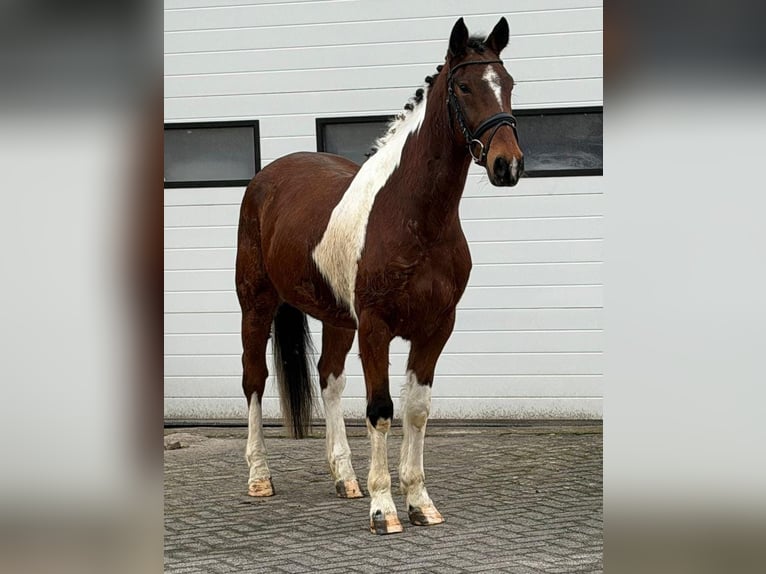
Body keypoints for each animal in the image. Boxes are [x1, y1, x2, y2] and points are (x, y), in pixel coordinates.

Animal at [235, 16, 524, 535]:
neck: (413, 216)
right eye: (465, 86)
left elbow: (417, 410)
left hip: (336, 319)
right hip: (256, 305)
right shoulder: (376, 328)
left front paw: (420, 502)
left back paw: (345, 478)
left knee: (328, 379)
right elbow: (381, 411)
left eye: (508, 84)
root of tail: (265, 179)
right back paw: (260, 477)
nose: (506, 164)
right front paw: (384, 509)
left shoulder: (435, 328)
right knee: (254, 379)